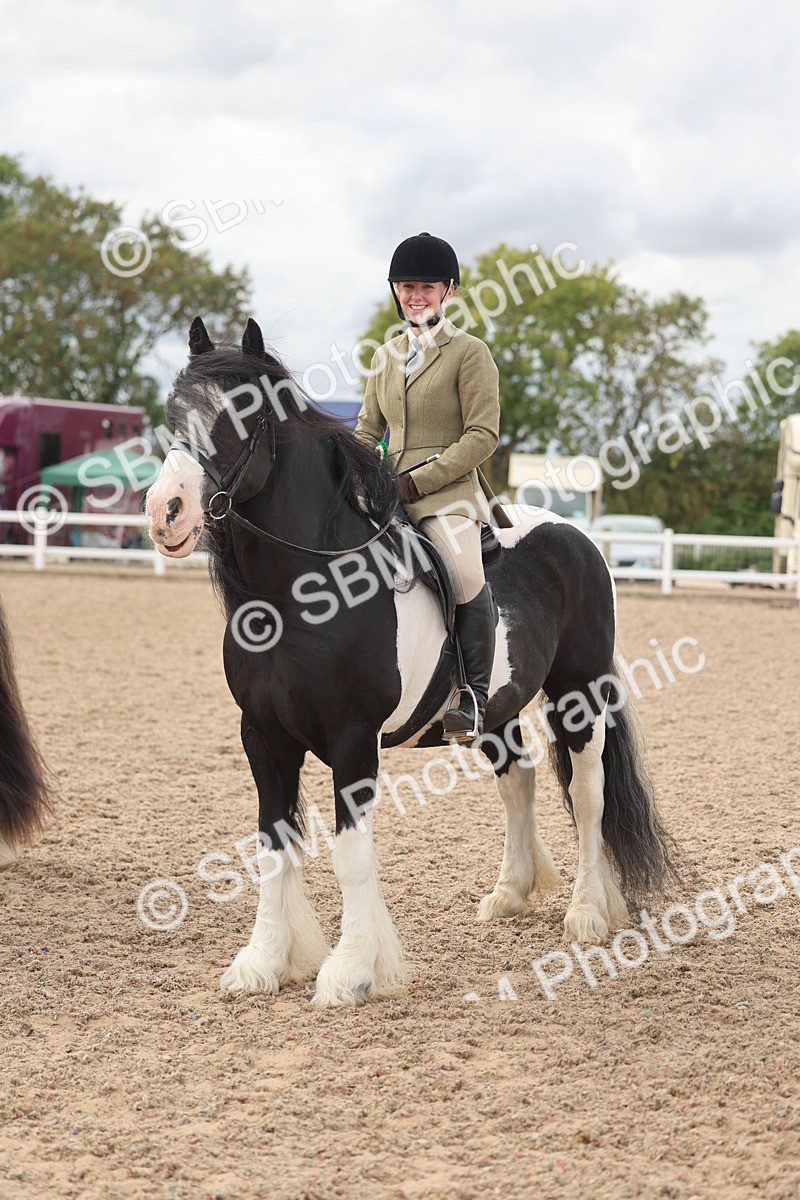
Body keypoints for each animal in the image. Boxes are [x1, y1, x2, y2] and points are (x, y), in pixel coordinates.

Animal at [145, 316, 679, 1007]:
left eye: (241, 413)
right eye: (171, 413)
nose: (166, 512)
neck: (303, 594)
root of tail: (574, 534)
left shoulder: (352, 741)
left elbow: (351, 855)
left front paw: (351, 972)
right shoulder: (262, 737)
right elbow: (271, 845)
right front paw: (261, 963)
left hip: (578, 693)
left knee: (588, 795)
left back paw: (586, 913)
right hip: (496, 708)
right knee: (519, 780)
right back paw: (510, 895)